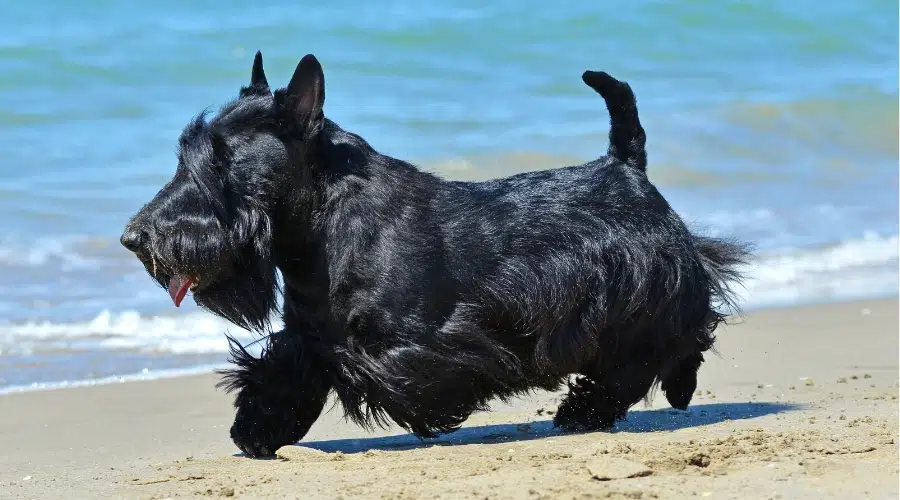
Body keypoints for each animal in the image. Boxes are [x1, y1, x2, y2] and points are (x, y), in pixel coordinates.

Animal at [121, 51, 752, 458]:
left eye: (220, 160)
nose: (134, 238)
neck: (320, 226)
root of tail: (626, 167)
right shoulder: (310, 336)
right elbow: (286, 371)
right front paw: (255, 427)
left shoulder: (410, 344)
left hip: (648, 294)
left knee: (673, 339)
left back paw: (608, 405)